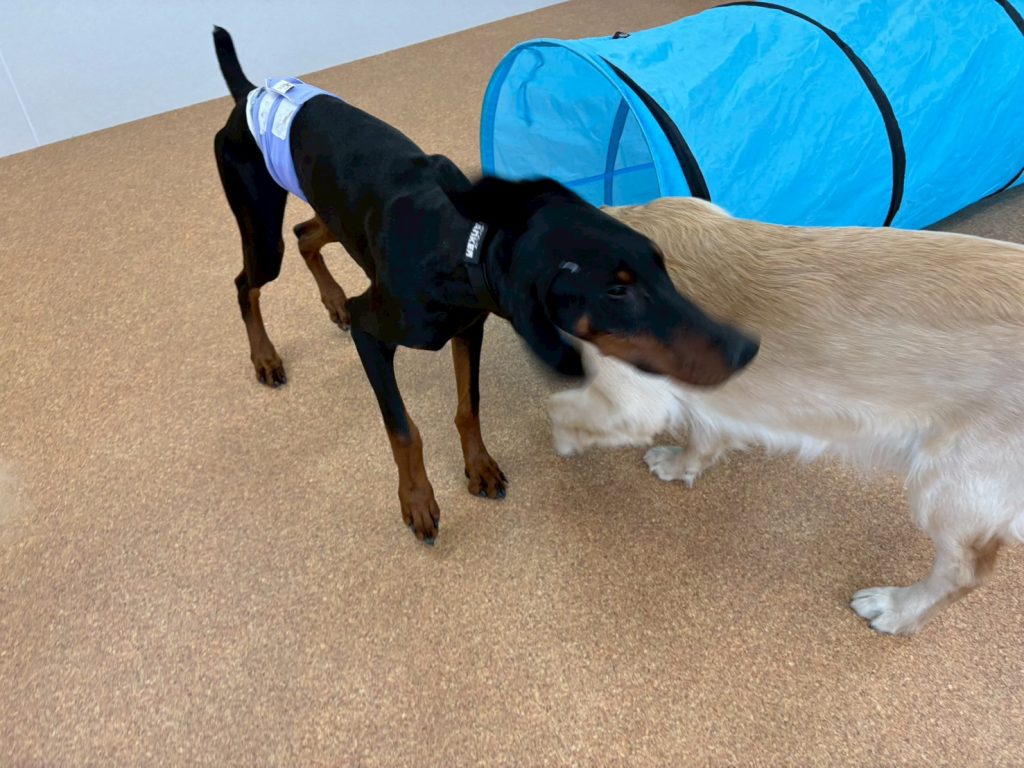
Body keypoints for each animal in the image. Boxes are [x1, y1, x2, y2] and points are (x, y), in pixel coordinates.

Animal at [211, 29, 758, 543]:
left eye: (661, 266)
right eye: (617, 291)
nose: (745, 348)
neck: (467, 242)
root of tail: (250, 92)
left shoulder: (467, 327)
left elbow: (468, 407)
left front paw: (479, 467)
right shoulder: (374, 334)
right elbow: (405, 429)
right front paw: (418, 501)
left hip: (327, 209)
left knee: (305, 234)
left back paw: (334, 303)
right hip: (261, 229)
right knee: (246, 282)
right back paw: (265, 357)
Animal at [548, 195, 1024, 634]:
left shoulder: (629, 400)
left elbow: (564, 411)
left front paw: (565, 439)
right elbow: (705, 431)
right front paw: (681, 464)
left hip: (947, 484)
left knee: (963, 572)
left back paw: (898, 610)